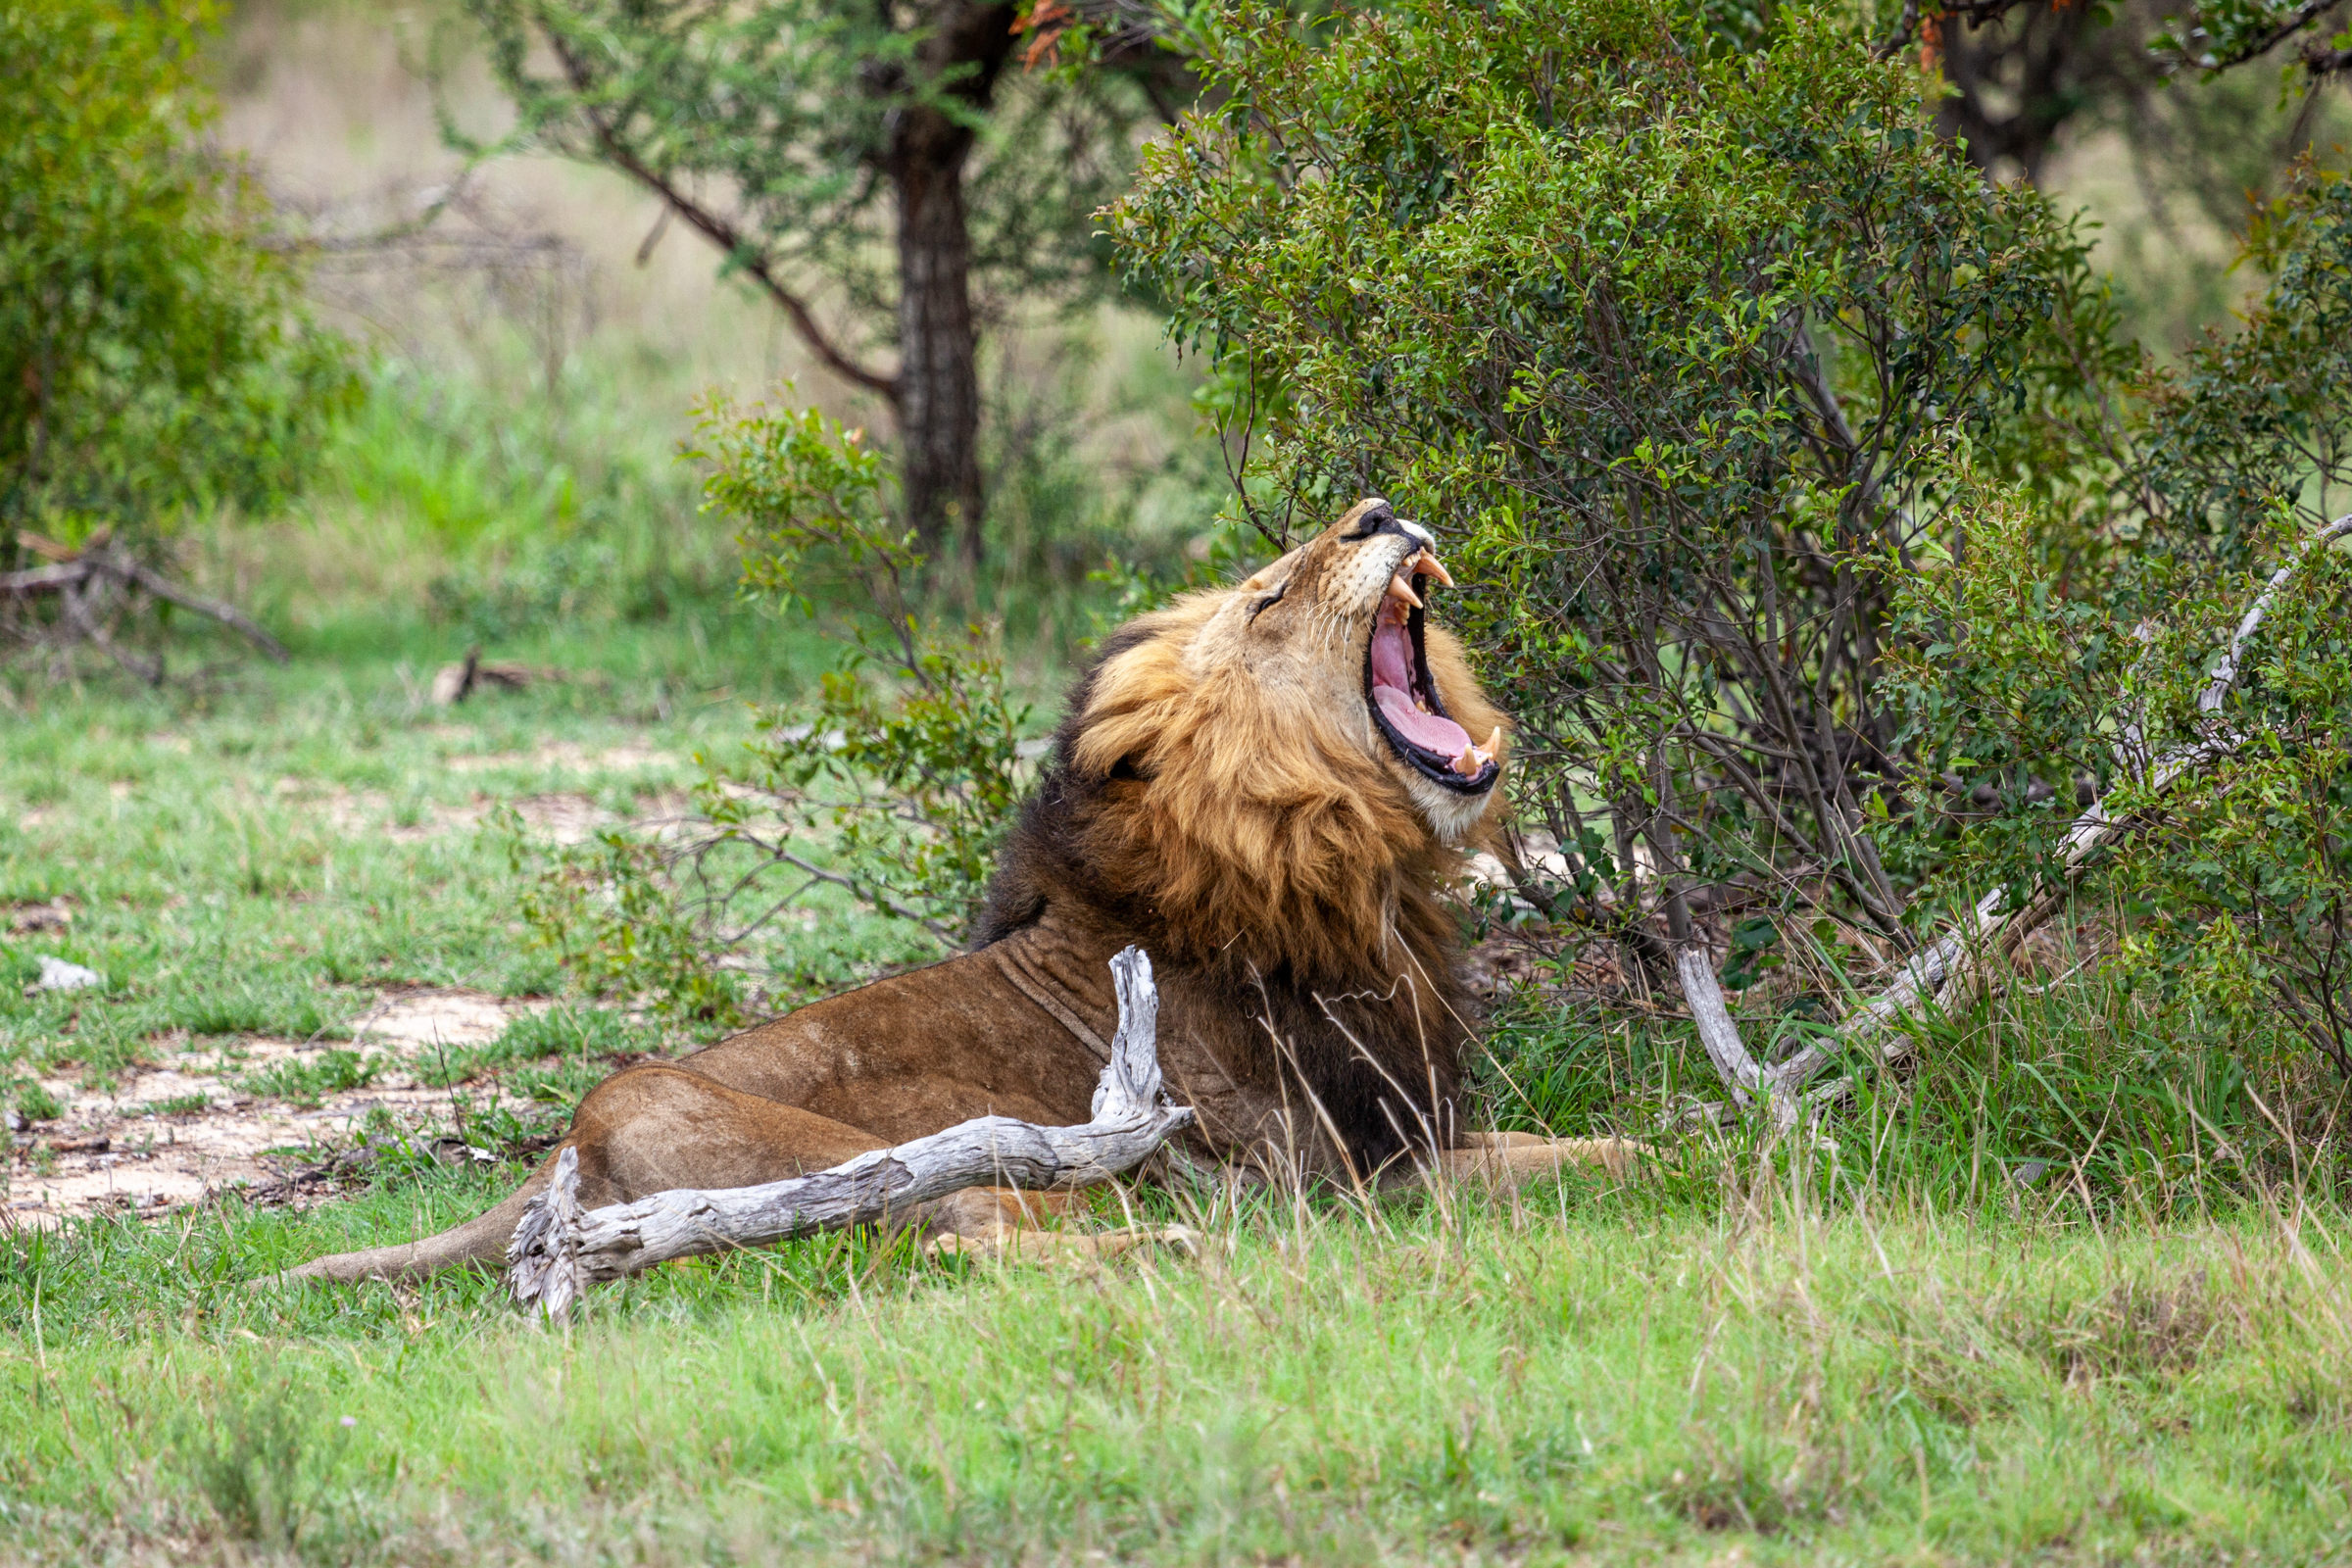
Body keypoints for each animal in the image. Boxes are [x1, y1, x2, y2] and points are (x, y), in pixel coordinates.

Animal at [289, 496, 1637, 1278]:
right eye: (1269, 595)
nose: (1378, 508)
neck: (1351, 872)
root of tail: (561, 1149)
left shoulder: (1409, 1127)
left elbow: (1580, 1142)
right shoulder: (1342, 1179)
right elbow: (1571, 1162)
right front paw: (1683, 1157)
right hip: (870, 1156)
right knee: (962, 1225)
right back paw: (1160, 1236)